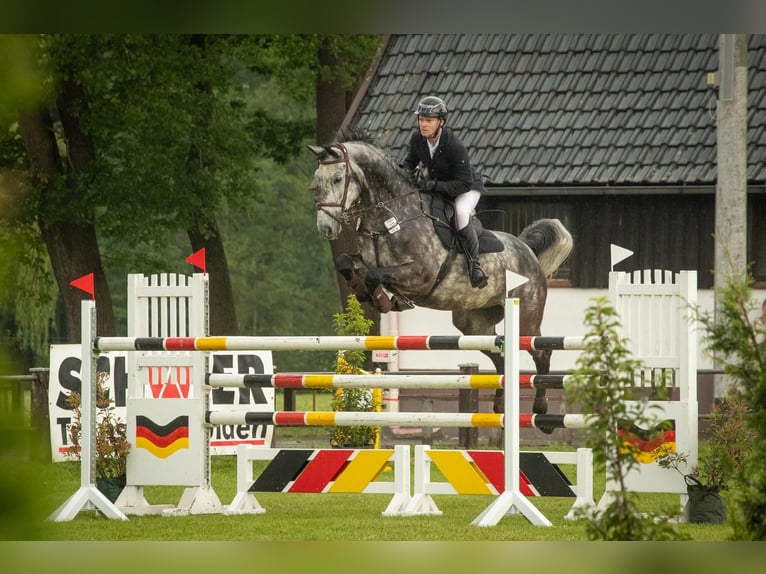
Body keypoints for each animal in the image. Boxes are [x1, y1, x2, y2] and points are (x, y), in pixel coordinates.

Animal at [308, 131, 573, 423]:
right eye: (315, 185)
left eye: (337, 179)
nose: (325, 228)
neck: (388, 218)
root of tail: (528, 252)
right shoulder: (366, 261)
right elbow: (347, 263)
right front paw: (369, 294)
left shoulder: (421, 275)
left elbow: (376, 276)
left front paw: (383, 299)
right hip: (473, 325)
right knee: (500, 357)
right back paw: (500, 405)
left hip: (526, 318)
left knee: (542, 351)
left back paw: (541, 410)